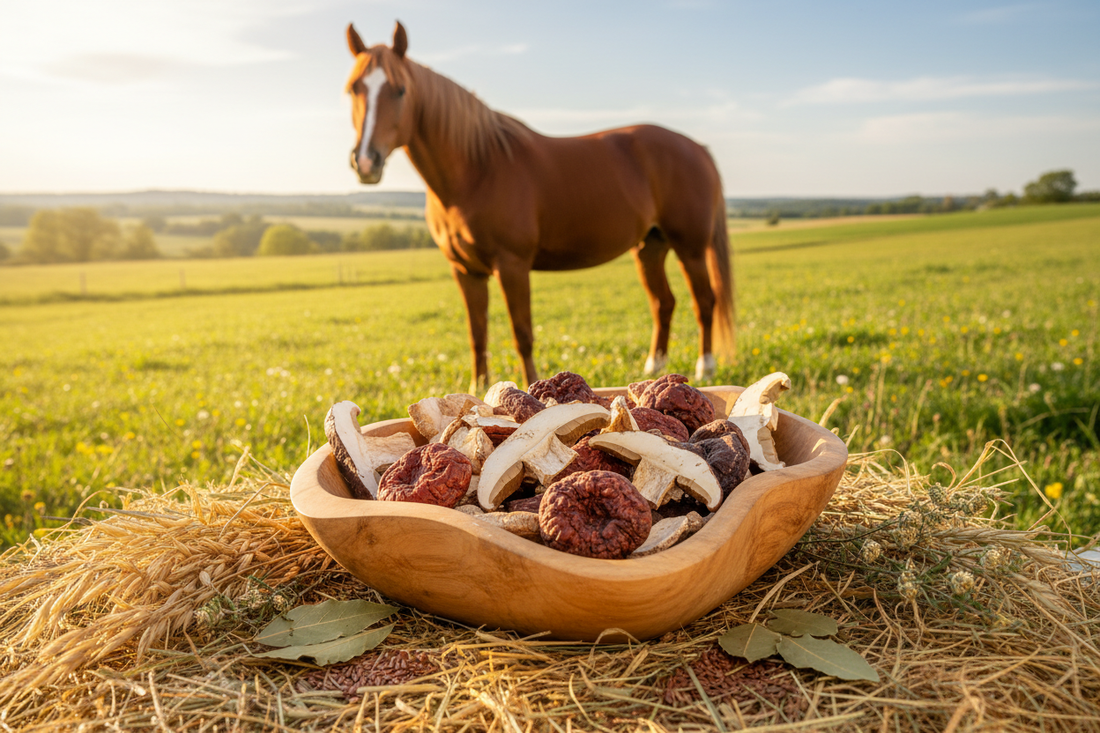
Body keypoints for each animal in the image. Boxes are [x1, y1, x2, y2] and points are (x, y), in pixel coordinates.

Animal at [345, 21, 734, 390]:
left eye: (400, 89)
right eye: (353, 89)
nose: (365, 162)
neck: (478, 169)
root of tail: (697, 148)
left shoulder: (513, 265)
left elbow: (522, 333)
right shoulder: (465, 271)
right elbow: (477, 335)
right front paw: (477, 387)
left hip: (690, 248)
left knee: (705, 301)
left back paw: (705, 367)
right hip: (650, 248)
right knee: (663, 303)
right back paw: (654, 367)